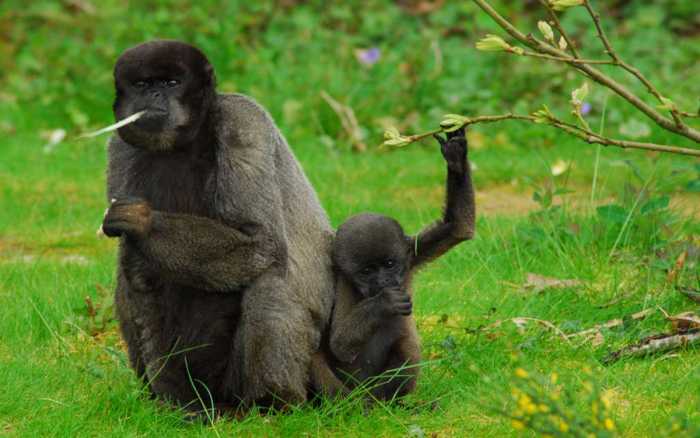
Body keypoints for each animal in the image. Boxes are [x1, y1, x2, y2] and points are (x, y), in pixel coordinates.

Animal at [314, 126, 474, 400]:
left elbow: (459, 226)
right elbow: (339, 343)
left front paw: (456, 160)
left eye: (389, 264)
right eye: (368, 271)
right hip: (349, 387)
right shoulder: (343, 284)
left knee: (405, 345)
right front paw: (384, 302)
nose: (385, 281)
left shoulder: (409, 254)